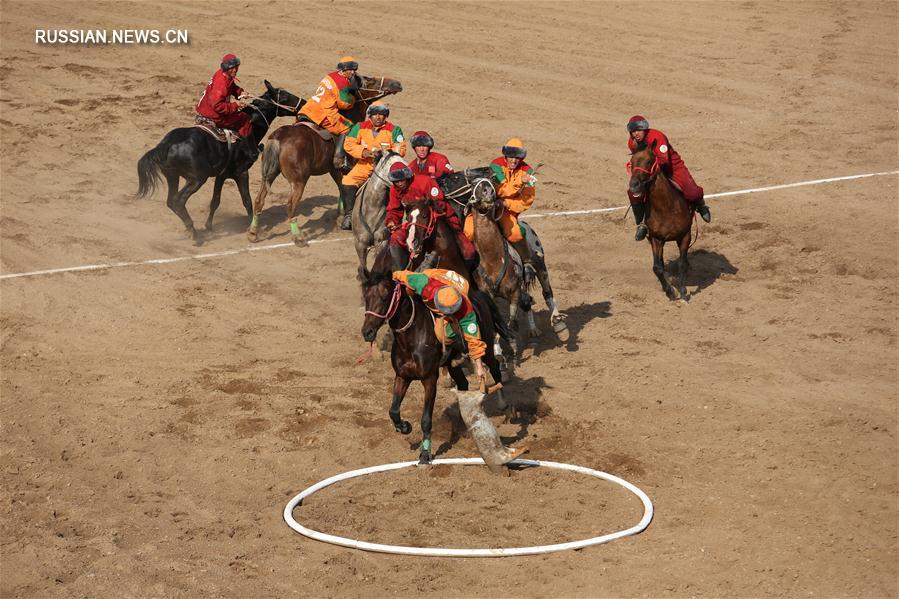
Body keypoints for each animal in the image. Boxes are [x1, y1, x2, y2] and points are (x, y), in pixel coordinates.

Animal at [135, 79, 300, 244]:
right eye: (284, 96)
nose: (302, 102)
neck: (251, 129)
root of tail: (166, 144)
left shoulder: (222, 175)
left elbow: (215, 201)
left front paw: (209, 226)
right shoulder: (242, 173)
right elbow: (247, 200)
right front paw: (252, 228)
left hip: (172, 176)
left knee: (171, 201)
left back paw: (190, 230)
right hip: (196, 179)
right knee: (178, 201)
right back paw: (194, 233)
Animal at [246, 74, 400, 244]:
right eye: (371, 80)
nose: (396, 84)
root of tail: (278, 138)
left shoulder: (334, 170)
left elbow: (342, 189)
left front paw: (340, 216)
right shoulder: (347, 169)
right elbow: (346, 190)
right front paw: (346, 219)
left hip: (269, 175)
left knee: (259, 201)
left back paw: (253, 233)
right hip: (299, 181)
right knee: (291, 205)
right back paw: (298, 236)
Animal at [628, 139, 700, 300]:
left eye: (649, 161)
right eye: (632, 161)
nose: (634, 185)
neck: (666, 207)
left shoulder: (685, 236)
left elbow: (682, 264)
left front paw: (683, 292)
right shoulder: (655, 239)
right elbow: (657, 267)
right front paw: (670, 291)